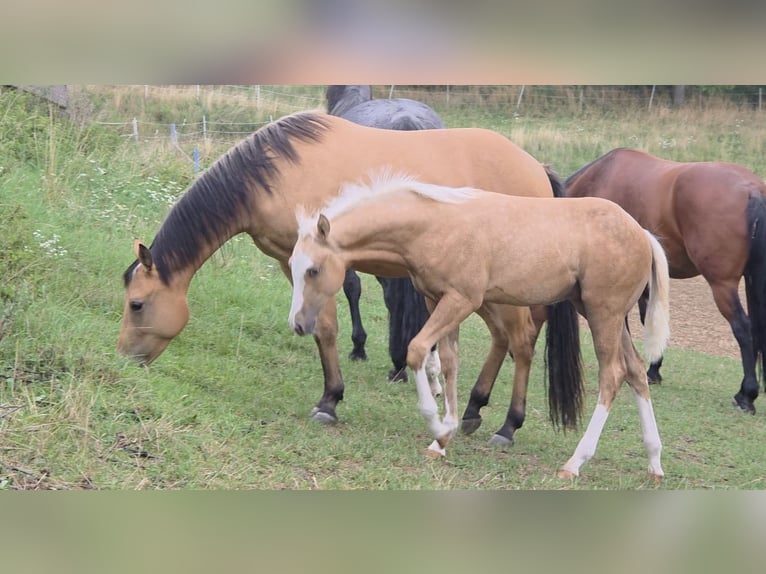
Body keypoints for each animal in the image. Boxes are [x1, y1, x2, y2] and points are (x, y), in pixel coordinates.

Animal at [288, 174, 670, 478]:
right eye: (292, 265)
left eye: (314, 270)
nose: (298, 324)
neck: (435, 224)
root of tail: (642, 234)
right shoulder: (437, 300)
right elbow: (449, 362)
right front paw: (443, 438)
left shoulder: (462, 300)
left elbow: (416, 349)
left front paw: (435, 423)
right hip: (601, 313)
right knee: (636, 371)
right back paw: (654, 462)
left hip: (603, 314)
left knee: (612, 375)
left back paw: (574, 463)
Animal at [566, 148, 766, 414]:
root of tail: (752, 189)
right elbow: (648, 317)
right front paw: (653, 368)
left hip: (722, 285)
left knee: (743, 328)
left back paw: (747, 394)